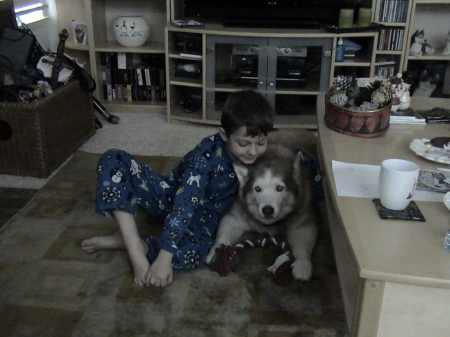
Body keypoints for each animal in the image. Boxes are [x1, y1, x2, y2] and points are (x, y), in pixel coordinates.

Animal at [206, 140, 318, 280]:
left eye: (279, 188)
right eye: (257, 189)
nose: (267, 210)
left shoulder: (303, 221)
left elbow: (303, 244)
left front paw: (302, 264)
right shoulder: (235, 216)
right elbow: (223, 236)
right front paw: (217, 253)